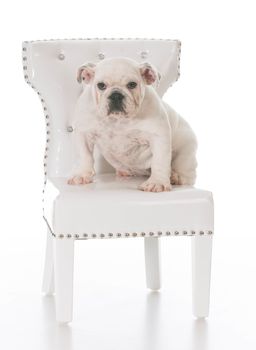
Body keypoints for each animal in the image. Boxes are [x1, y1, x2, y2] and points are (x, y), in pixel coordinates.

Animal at [67, 56, 197, 191]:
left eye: (132, 84)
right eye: (101, 85)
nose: (116, 95)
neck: (118, 120)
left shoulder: (158, 136)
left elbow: (159, 160)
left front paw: (157, 182)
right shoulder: (84, 134)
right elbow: (84, 156)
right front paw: (81, 175)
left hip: (186, 151)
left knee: (185, 168)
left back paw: (176, 177)